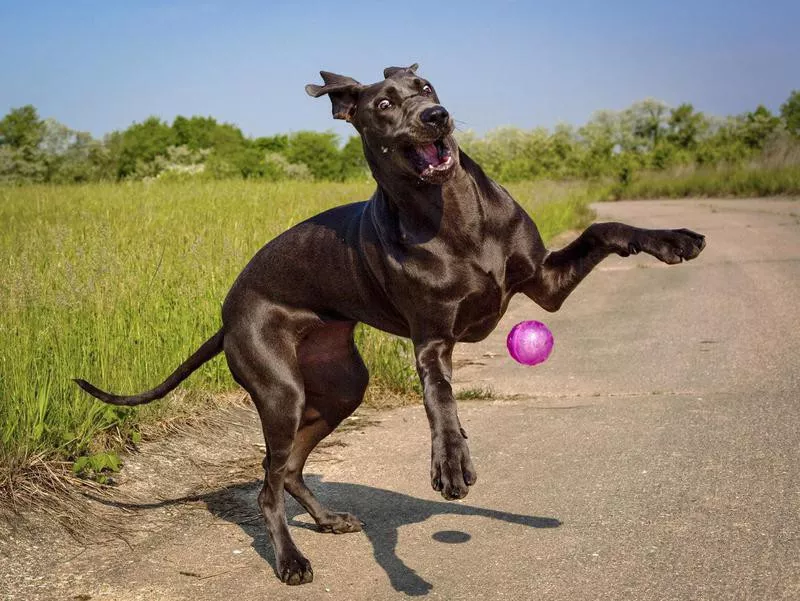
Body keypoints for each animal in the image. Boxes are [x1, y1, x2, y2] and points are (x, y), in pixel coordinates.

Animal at [73, 65, 700, 584]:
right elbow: (441, 398)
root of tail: (227, 314)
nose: (436, 116)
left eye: (426, 87)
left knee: (291, 467)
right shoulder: (433, 340)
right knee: (267, 485)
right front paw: (450, 461)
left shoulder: (546, 285)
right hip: (280, 390)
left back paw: (327, 519)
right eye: (382, 104)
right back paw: (291, 559)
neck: (453, 213)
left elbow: (604, 227)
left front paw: (673, 239)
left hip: (342, 386)